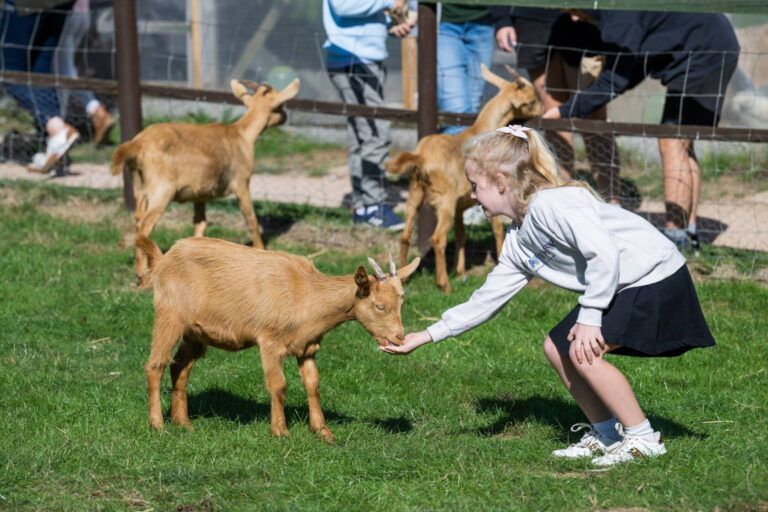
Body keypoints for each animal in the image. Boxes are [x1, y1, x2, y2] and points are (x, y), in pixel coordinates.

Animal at [111, 79, 300, 286]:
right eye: (279, 105)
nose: (286, 116)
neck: (242, 133)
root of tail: (136, 145)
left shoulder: (199, 194)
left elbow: (200, 223)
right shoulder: (241, 182)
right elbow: (251, 220)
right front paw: (261, 250)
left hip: (139, 187)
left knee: (138, 219)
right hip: (161, 189)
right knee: (144, 225)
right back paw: (142, 275)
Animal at [127, 234, 420, 442]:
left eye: (402, 302)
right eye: (379, 306)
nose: (398, 337)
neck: (307, 294)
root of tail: (163, 259)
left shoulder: (307, 347)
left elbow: (313, 385)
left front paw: (323, 432)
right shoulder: (269, 341)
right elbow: (278, 385)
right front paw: (280, 431)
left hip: (195, 332)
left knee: (180, 367)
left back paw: (184, 423)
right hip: (170, 316)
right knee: (155, 365)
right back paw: (158, 424)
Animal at [386, 64, 540, 293]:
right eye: (532, 100)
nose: (542, 109)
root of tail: (421, 156)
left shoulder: (461, 206)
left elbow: (461, 235)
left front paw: (460, 271)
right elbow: (497, 229)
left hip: (415, 194)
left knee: (405, 236)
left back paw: (403, 280)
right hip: (445, 201)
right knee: (437, 238)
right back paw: (444, 285)